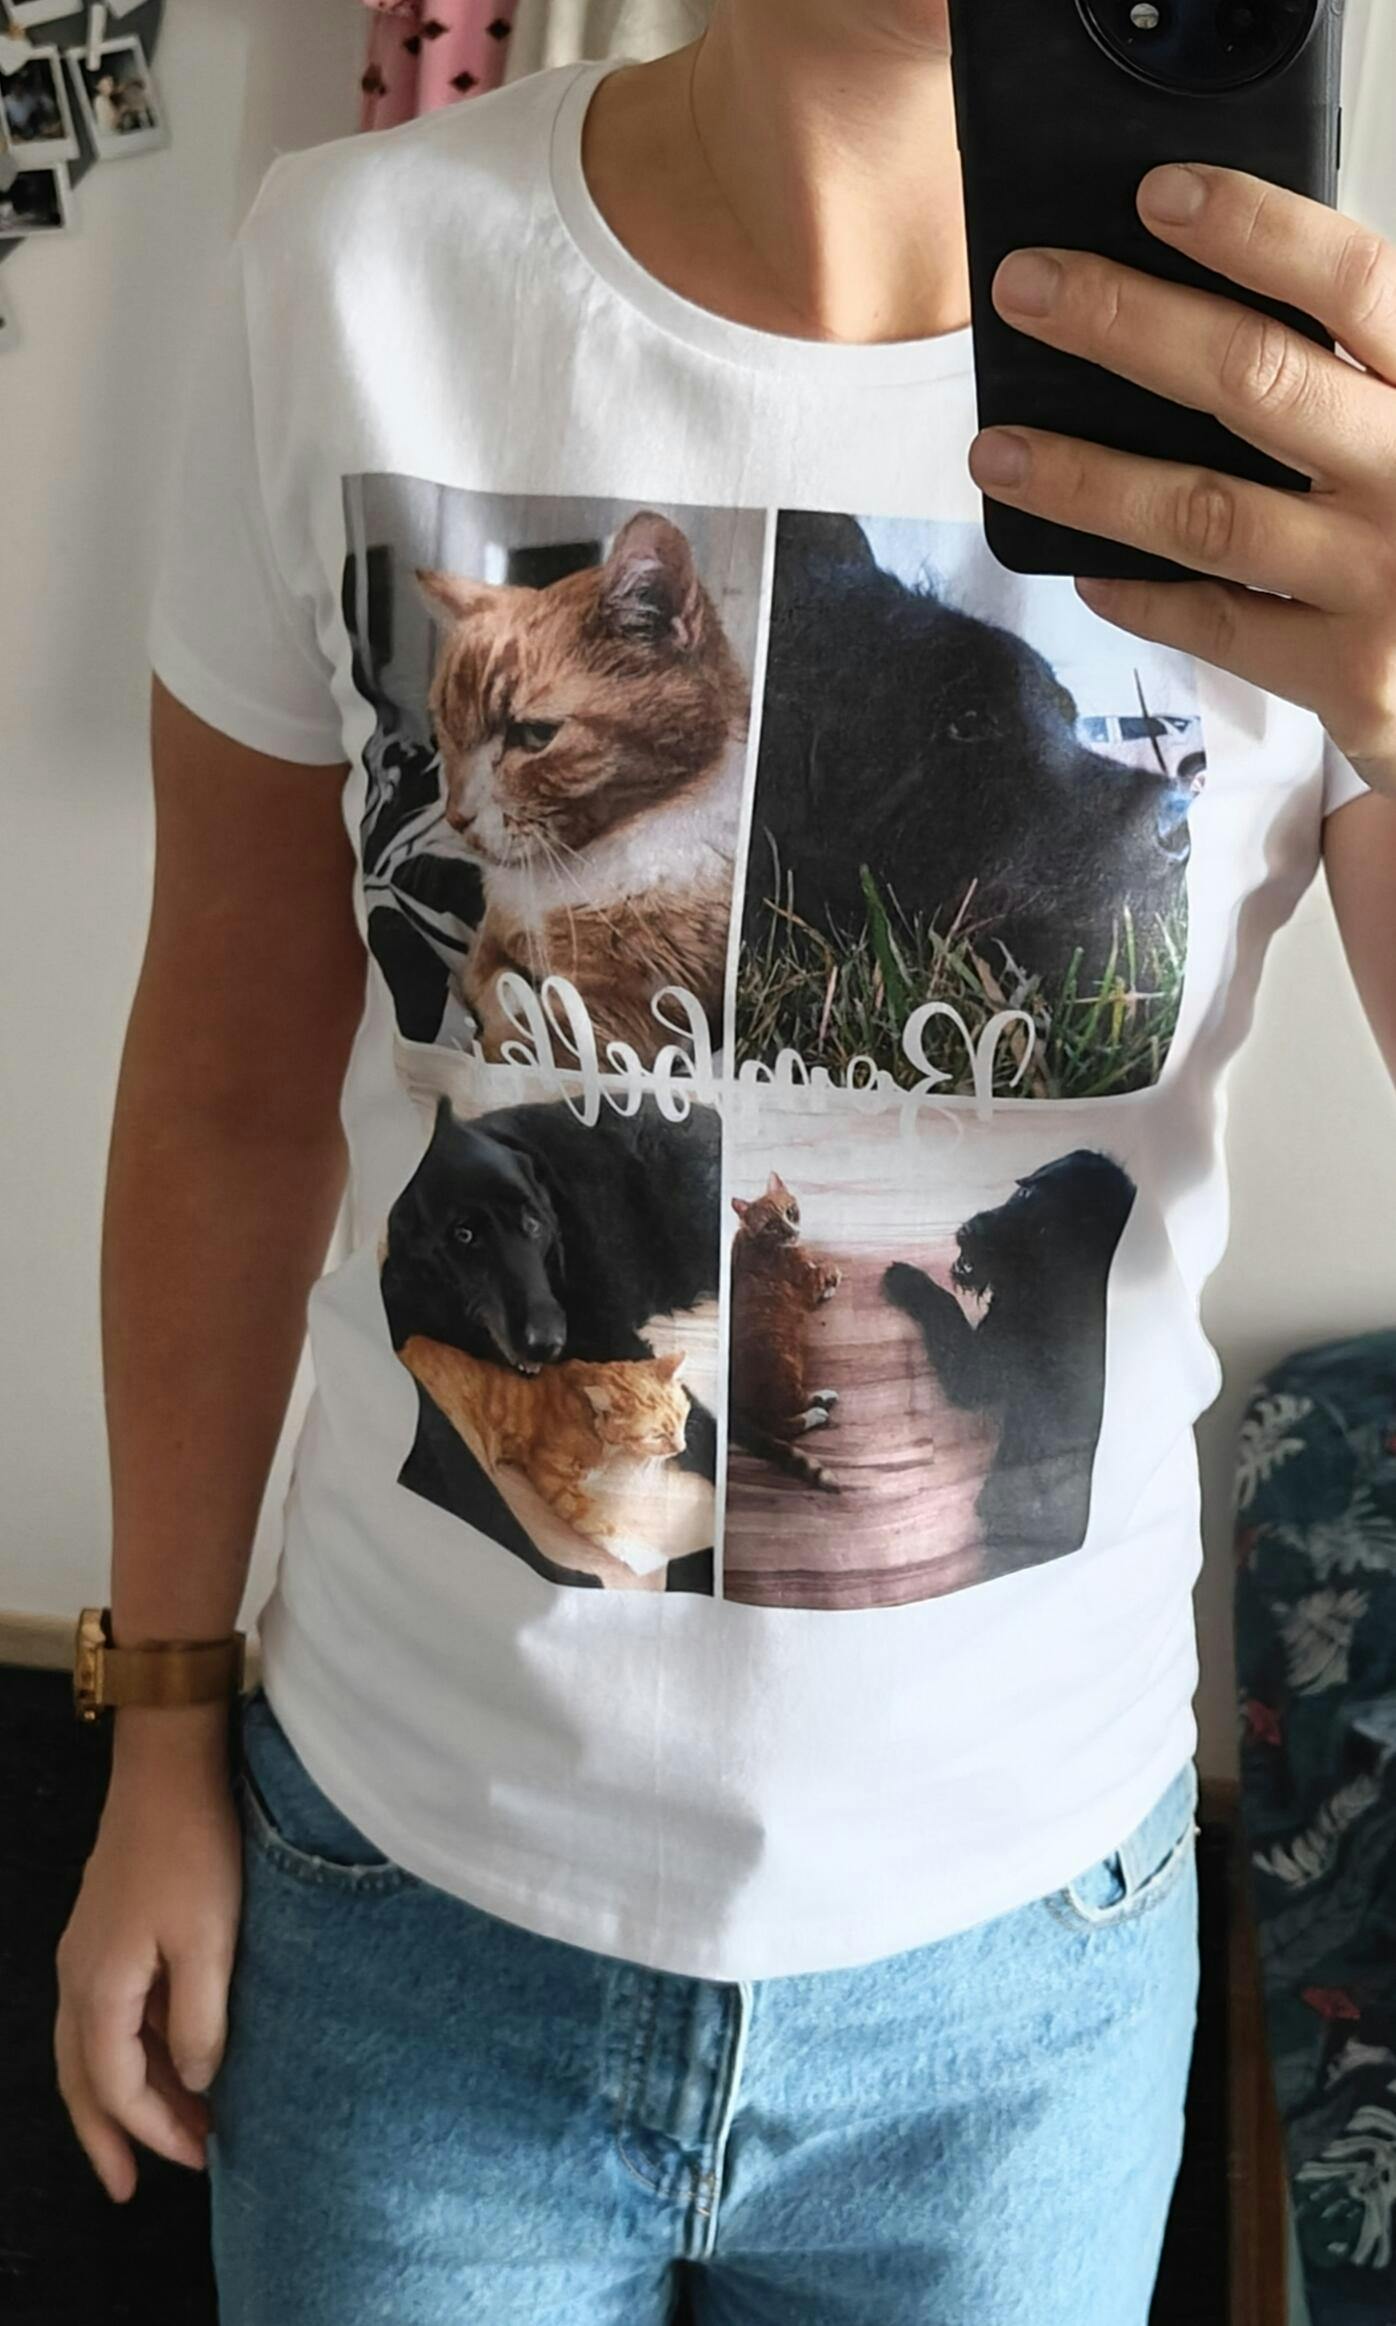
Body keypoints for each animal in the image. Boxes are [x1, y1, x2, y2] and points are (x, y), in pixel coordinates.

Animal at [399, 1335, 691, 1590]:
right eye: (657, 1435)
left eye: (682, 1417)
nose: (682, 1447)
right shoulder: (554, 1478)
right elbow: (599, 1519)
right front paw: (647, 1557)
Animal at [417, 510, 749, 1067]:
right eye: (446, 729)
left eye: (535, 735)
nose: (457, 817)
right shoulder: (488, 944)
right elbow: (498, 986)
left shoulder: (638, 1009)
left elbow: (543, 1030)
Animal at [730, 1173, 843, 1494]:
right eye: (771, 1224)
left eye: (790, 1211)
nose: (794, 1231)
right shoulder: (806, 1281)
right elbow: (826, 1270)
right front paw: (832, 1279)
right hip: (784, 1363)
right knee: (784, 1422)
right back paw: (820, 1405)